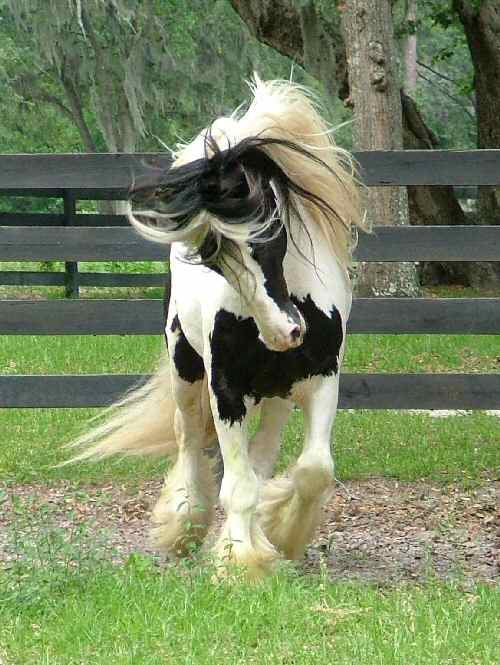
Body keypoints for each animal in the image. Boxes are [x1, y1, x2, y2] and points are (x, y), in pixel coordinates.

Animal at [71, 77, 366, 576]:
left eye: (269, 229)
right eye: (212, 258)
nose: (284, 334)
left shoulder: (323, 378)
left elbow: (312, 470)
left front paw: (281, 535)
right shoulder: (226, 388)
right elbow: (238, 484)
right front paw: (243, 559)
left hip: (277, 393)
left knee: (262, 455)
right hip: (186, 373)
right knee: (189, 440)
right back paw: (185, 526)